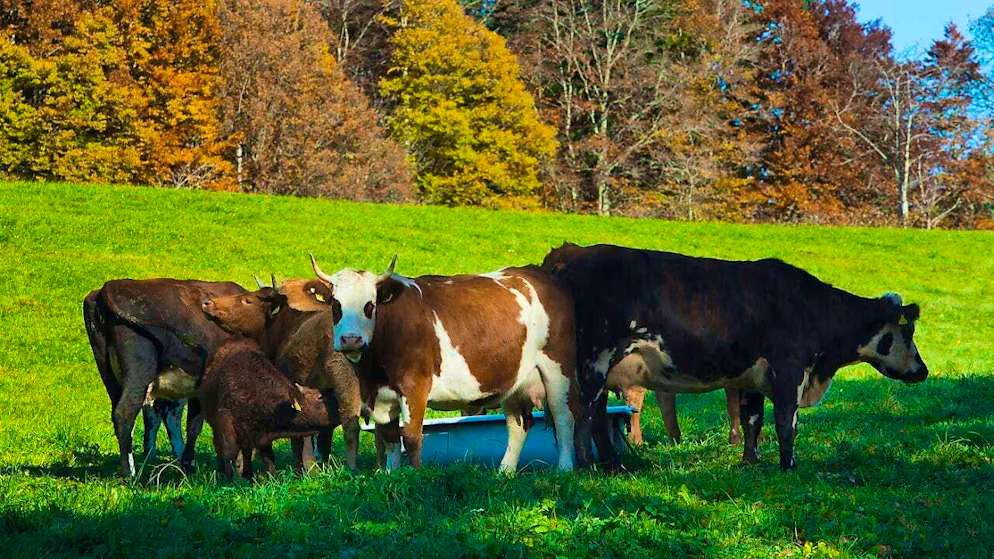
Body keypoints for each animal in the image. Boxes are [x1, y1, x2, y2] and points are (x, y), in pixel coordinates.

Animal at [83, 279, 246, 478]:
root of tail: (111, 286)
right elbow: (197, 425)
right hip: (139, 371)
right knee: (126, 413)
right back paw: (131, 475)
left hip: (109, 374)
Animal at [199, 338, 336, 480]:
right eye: (319, 397)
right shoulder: (225, 421)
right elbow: (229, 453)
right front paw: (230, 480)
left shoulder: (262, 435)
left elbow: (268, 459)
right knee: (219, 446)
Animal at [284, 255, 581, 473]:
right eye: (336, 305)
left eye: (370, 305)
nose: (350, 339)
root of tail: (535, 274)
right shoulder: (383, 395)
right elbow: (390, 438)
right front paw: (391, 476)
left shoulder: (415, 387)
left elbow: (411, 437)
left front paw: (415, 477)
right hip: (513, 378)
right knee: (518, 424)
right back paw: (504, 473)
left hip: (558, 369)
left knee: (564, 417)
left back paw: (564, 469)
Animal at [542, 243, 929, 472]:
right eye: (907, 333)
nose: (923, 371)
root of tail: (573, 253)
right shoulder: (789, 370)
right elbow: (787, 424)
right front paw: (788, 466)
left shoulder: (752, 379)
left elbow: (751, 421)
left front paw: (750, 461)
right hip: (594, 361)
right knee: (588, 415)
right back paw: (597, 466)